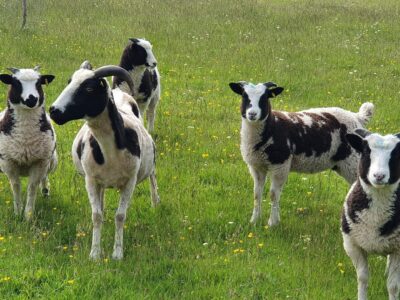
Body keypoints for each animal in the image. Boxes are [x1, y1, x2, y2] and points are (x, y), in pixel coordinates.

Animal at [0, 66, 57, 220]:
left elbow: (32, 187)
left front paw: (28, 216)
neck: (26, 138)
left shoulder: (40, 161)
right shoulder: (9, 162)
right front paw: (17, 212)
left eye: (39, 83)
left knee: (44, 177)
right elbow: (16, 186)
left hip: (51, 161)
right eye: (16, 83)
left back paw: (45, 191)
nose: (32, 99)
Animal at [50, 61, 161, 260]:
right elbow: (97, 215)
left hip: (150, 162)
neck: (110, 151)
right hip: (99, 181)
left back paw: (156, 202)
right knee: (100, 203)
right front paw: (95, 253)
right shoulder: (91, 180)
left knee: (152, 176)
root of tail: (119, 93)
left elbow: (120, 216)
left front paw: (117, 253)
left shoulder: (130, 181)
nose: (54, 111)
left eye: (88, 88)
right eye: (69, 82)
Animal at [228, 81, 376, 226]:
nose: (252, 114)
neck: (271, 126)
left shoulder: (280, 164)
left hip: (353, 160)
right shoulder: (256, 166)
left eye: (265, 98)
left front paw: (272, 223)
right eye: (244, 96)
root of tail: (357, 117)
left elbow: (273, 194)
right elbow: (257, 193)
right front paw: (254, 221)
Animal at [340, 129, 400, 300]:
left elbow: (393, 286)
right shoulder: (352, 244)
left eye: (396, 154)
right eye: (366, 151)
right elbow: (362, 278)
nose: (379, 176)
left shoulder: (398, 249)